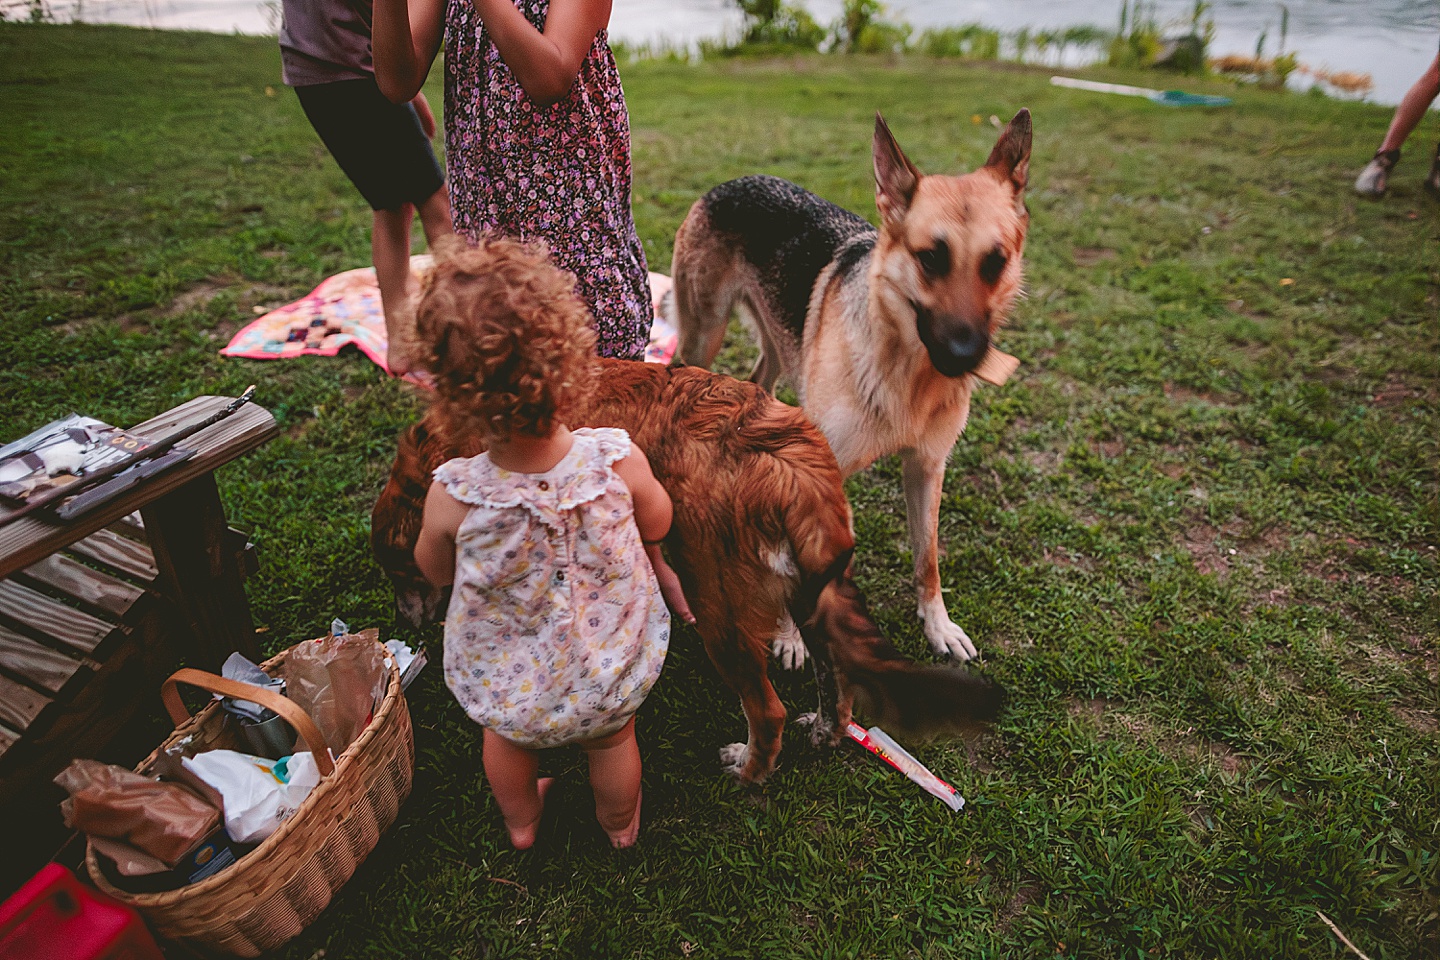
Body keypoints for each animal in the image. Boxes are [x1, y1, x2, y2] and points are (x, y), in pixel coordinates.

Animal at [371, 358, 1002, 782]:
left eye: (399, 572)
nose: (407, 619)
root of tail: (782, 455)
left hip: (718, 609)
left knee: (766, 712)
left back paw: (748, 771)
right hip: (807, 593)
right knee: (836, 680)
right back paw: (824, 733)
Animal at [668, 112, 1031, 664]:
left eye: (996, 262)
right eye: (931, 258)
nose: (966, 356)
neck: (905, 371)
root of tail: (732, 181)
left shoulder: (927, 468)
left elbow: (927, 559)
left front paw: (938, 626)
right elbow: (797, 564)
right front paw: (790, 635)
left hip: (779, 347)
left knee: (758, 387)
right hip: (704, 335)